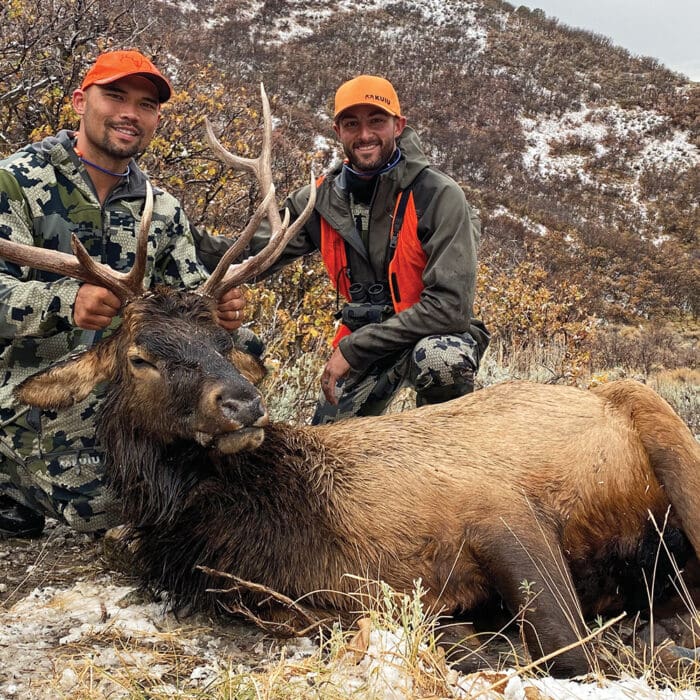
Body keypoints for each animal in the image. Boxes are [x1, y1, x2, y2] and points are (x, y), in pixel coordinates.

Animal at [1, 85, 699, 678]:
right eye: (141, 356)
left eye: (227, 342)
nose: (243, 403)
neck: (300, 531)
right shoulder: (309, 602)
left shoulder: (497, 508)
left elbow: (568, 649)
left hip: (660, 422)